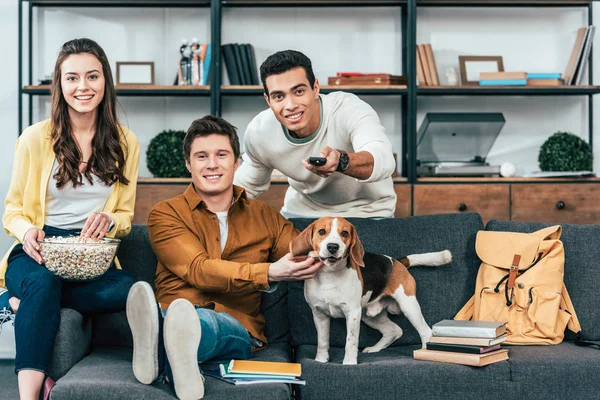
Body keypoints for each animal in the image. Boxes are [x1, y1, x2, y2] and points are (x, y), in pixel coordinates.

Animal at [290, 217, 450, 364]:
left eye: (344, 233)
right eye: (322, 232)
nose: (333, 247)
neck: (329, 275)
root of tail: (396, 261)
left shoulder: (353, 314)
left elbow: (351, 342)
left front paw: (349, 363)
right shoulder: (319, 314)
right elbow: (322, 342)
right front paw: (321, 360)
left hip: (408, 306)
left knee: (426, 332)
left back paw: (424, 353)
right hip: (369, 315)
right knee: (394, 330)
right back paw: (374, 349)